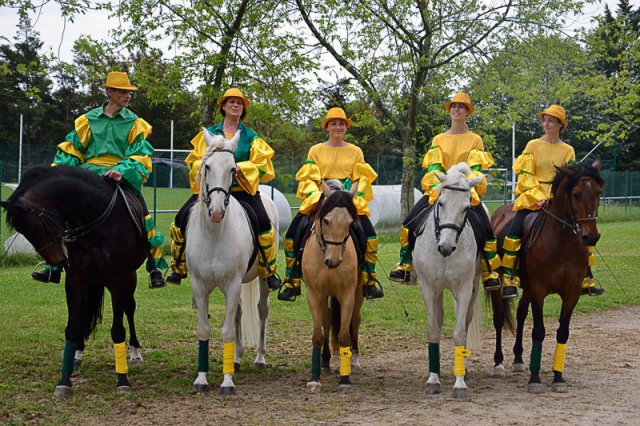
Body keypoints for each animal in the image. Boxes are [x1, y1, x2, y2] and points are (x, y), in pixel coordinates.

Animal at [0, 166, 150, 396]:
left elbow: (118, 330)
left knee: (129, 309)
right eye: (24, 232)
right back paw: (78, 353)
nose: (59, 260)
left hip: (129, 279)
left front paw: (122, 379)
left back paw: (134, 353)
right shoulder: (75, 279)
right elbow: (72, 327)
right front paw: (64, 380)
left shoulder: (118, 280)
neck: (94, 218)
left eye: (36, 226)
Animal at [182, 128, 278, 394]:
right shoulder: (200, 286)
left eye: (233, 169)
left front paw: (227, 383)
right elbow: (204, 329)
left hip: (262, 279)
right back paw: (235, 358)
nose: (216, 212)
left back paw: (259, 358)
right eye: (207, 167)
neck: (215, 234)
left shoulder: (233, 284)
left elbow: (226, 331)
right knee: (238, 313)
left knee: (262, 310)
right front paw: (201, 380)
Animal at [302, 179, 362, 392]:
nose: (334, 261)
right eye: (326, 220)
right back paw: (325, 361)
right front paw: (314, 379)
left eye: (350, 223)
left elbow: (344, 334)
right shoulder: (314, 294)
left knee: (355, 321)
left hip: (358, 294)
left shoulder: (347, 294)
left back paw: (355, 358)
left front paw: (345, 380)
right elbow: (318, 334)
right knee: (327, 320)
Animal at [412, 161, 482, 398]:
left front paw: (460, 383)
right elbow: (433, 329)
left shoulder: (464, 289)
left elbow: (460, 333)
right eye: (440, 203)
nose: (446, 247)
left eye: (466, 207)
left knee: (467, 320)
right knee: (439, 319)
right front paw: (433, 379)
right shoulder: (428, 288)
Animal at [490, 162, 604, 392]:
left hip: (527, 288)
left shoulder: (571, 294)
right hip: (501, 286)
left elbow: (563, 332)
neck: (562, 243)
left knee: (521, 314)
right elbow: (539, 332)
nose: (591, 236)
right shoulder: (539, 290)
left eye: (598, 192)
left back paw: (518, 360)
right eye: (576, 194)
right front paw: (535, 379)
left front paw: (558, 378)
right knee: (498, 319)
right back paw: (498, 363)